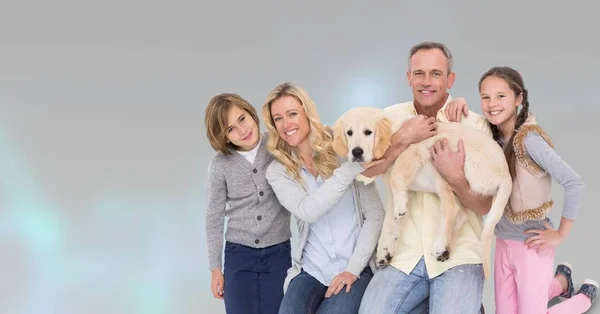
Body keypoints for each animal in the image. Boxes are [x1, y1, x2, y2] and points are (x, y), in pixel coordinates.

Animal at [332, 106, 510, 278]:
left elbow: (396, 176)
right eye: (349, 133)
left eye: (368, 132)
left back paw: (439, 244)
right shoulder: (400, 189)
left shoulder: (411, 152)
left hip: (440, 161)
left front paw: (400, 208)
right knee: (461, 215)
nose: (356, 152)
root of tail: (506, 174)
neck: (393, 135)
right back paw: (445, 249)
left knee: (451, 207)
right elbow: (389, 221)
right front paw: (384, 252)